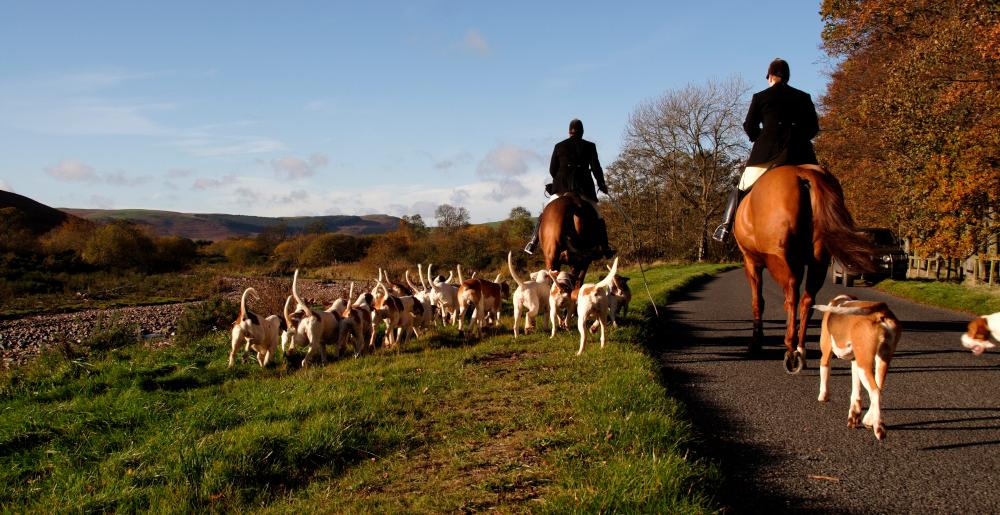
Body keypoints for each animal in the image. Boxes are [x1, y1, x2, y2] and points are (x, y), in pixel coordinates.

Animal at [736, 167, 876, 372]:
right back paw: (800, 349)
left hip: (780, 260)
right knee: (807, 300)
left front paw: (756, 344)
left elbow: (758, 302)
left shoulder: (751, 262)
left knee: (792, 297)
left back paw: (791, 349)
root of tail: (802, 172)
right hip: (819, 261)